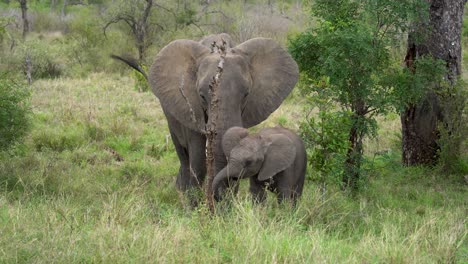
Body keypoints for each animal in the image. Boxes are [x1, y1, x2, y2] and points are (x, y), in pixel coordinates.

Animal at [114, 34, 298, 204]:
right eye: (202, 96)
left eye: (246, 94)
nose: (218, 198)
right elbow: (199, 160)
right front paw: (194, 209)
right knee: (184, 156)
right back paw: (181, 194)